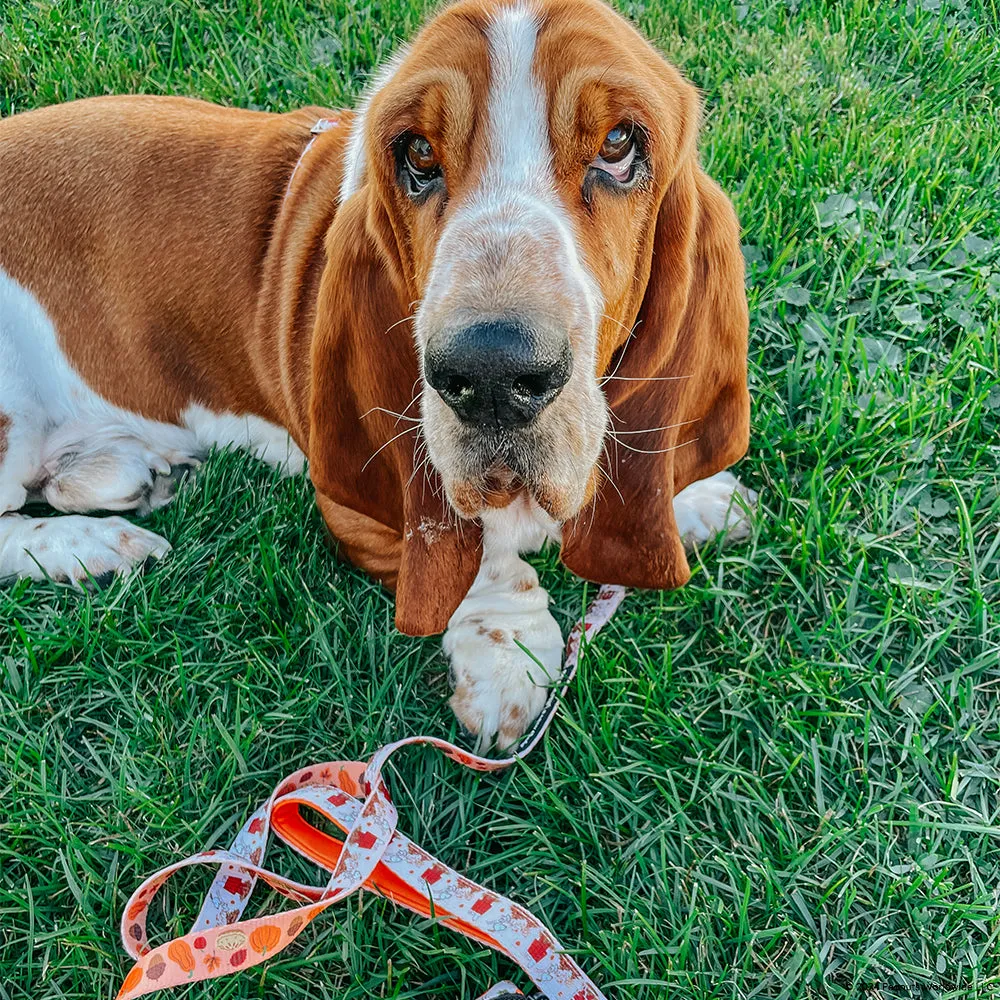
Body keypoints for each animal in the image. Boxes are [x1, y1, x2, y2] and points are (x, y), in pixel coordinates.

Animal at [0, 0, 752, 744]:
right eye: (417, 154)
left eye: (620, 144)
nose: (490, 374)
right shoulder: (354, 504)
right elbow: (480, 563)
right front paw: (508, 657)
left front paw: (699, 499)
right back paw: (98, 545)